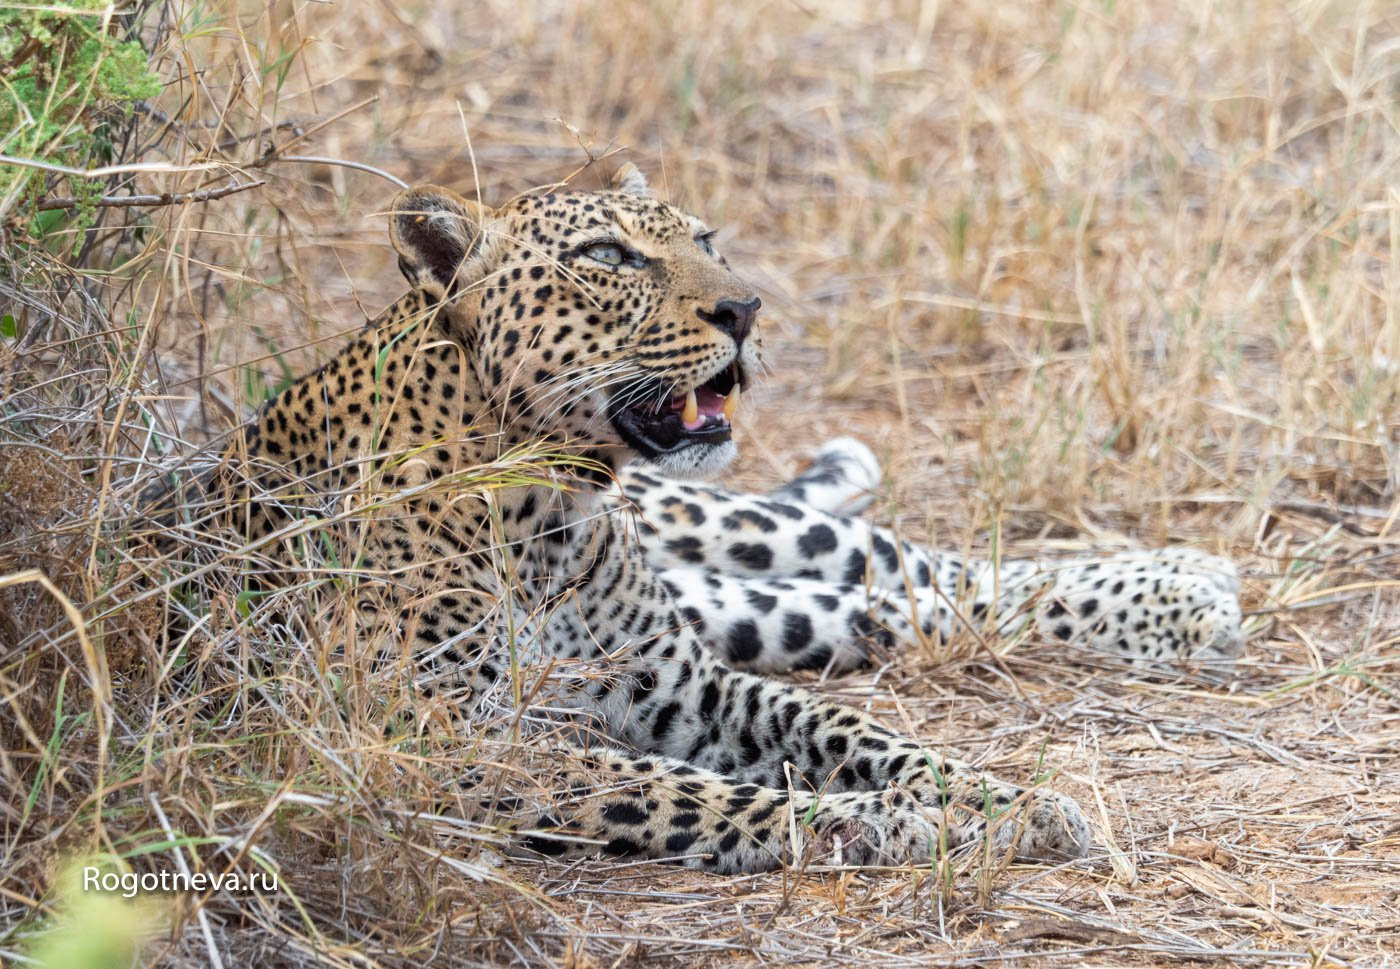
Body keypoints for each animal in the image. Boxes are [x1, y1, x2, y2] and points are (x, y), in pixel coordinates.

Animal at [180, 162, 1243, 873]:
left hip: (717, 531)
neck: (550, 516)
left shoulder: (687, 687)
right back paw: (1193, 598)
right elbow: (693, 791)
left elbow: (849, 732)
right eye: (607, 256)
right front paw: (904, 824)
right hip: (733, 598)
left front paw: (1003, 797)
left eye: (705, 240)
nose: (745, 307)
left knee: (906, 564)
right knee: (878, 607)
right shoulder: (451, 742)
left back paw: (1188, 586)